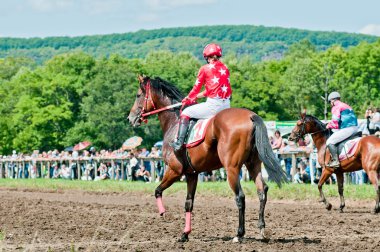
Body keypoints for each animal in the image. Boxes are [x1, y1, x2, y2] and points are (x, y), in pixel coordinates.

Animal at [128, 75, 288, 242]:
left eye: (138, 95)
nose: (130, 118)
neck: (174, 122)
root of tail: (251, 116)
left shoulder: (174, 170)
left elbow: (157, 190)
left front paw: (163, 213)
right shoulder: (192, 174)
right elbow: (188, 203)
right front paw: (185, 234)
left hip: (232, 169)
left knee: (240, 197)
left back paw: (239, 234)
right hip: (253, 165)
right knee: (262, 191)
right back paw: (262, 229)